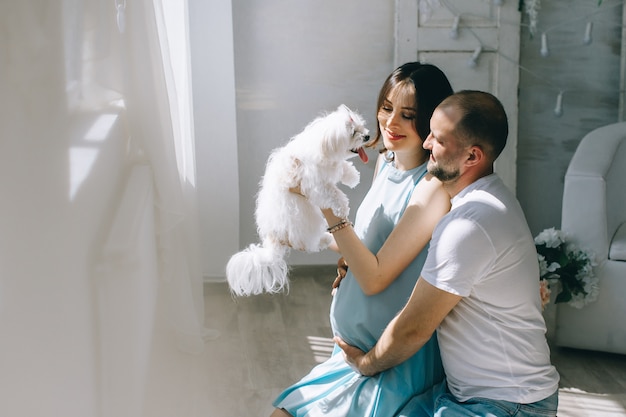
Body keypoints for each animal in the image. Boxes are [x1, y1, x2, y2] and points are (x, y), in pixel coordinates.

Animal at [225, 104, 368, 296]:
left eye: (361, 127)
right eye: (353, 132)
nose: (367, 136)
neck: (321, 145)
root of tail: (274, 240)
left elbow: (342, 167)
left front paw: (352, 176)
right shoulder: (315, 185)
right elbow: (334, 193)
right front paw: (342, 208)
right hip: (305, 220)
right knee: (308, 242)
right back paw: (324, 239)